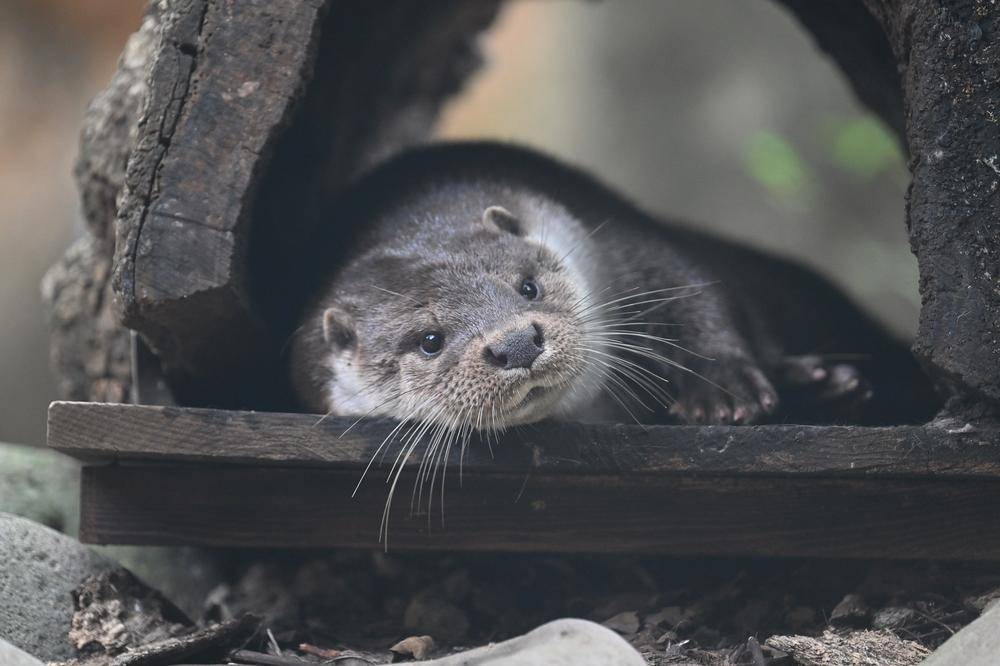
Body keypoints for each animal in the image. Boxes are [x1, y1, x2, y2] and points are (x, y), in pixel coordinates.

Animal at [290, 141, 936, 430]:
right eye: (429, 341)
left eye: (527, 287)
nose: (517, 344)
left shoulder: (612, 235)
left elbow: (692, 288)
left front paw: (722, 388)